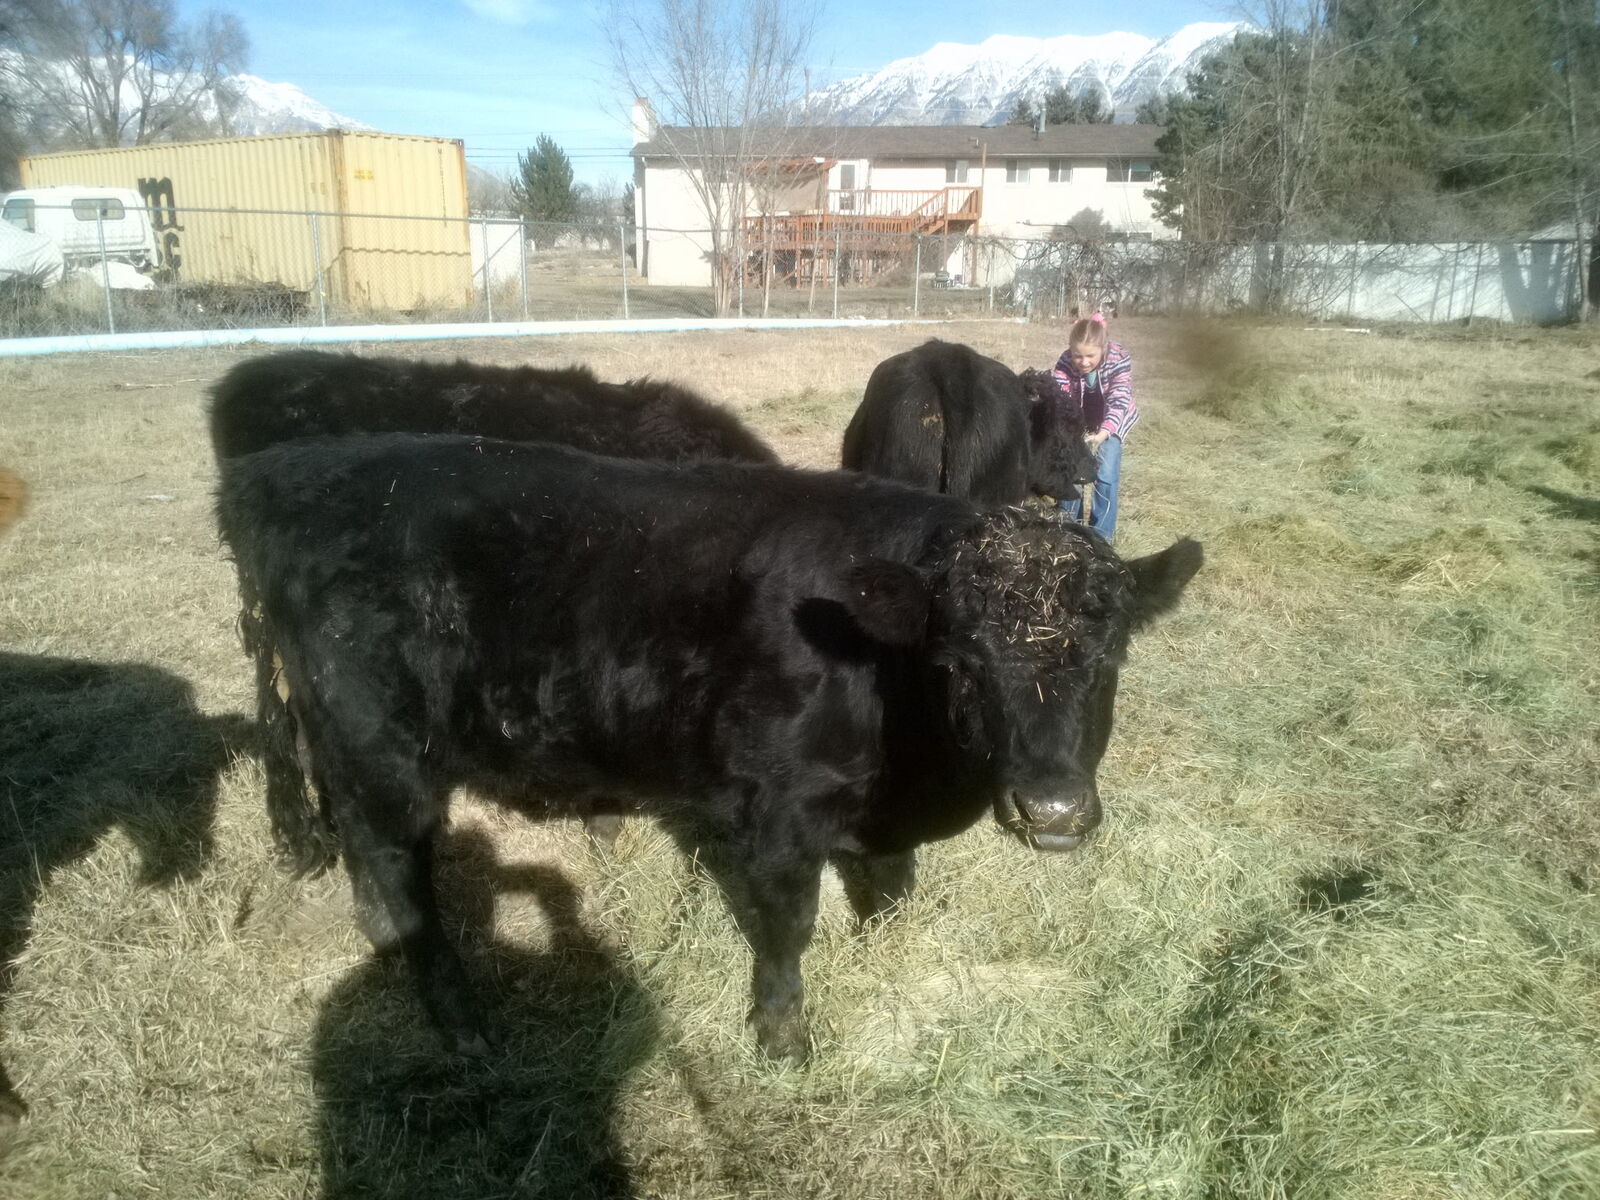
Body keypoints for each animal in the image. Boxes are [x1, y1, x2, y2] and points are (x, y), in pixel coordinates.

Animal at [216, 433, 1201, 1061]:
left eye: (1111, 655)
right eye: (960, 661)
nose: (1053, 810)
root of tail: (276, 472)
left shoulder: (879, 821)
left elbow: (892, 896)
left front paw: (887, 965)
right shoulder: (782, 810)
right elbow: (788, 928)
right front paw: (783, 1039)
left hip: (348, 756)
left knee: (369, 868)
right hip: (386, 754)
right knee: (401, 874)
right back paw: (465, 1029)